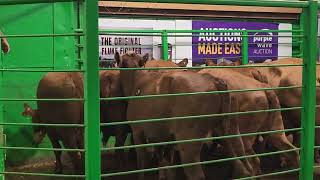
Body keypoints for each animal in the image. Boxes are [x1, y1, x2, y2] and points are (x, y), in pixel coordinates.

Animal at [115, 51, 252, 180]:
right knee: (243, 161)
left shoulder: (137, 131)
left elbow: (142, 163)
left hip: (188, 141)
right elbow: (167, 165)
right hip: (231, 130)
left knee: (196, 174)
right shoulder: (164, 137)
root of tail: (213, 80)